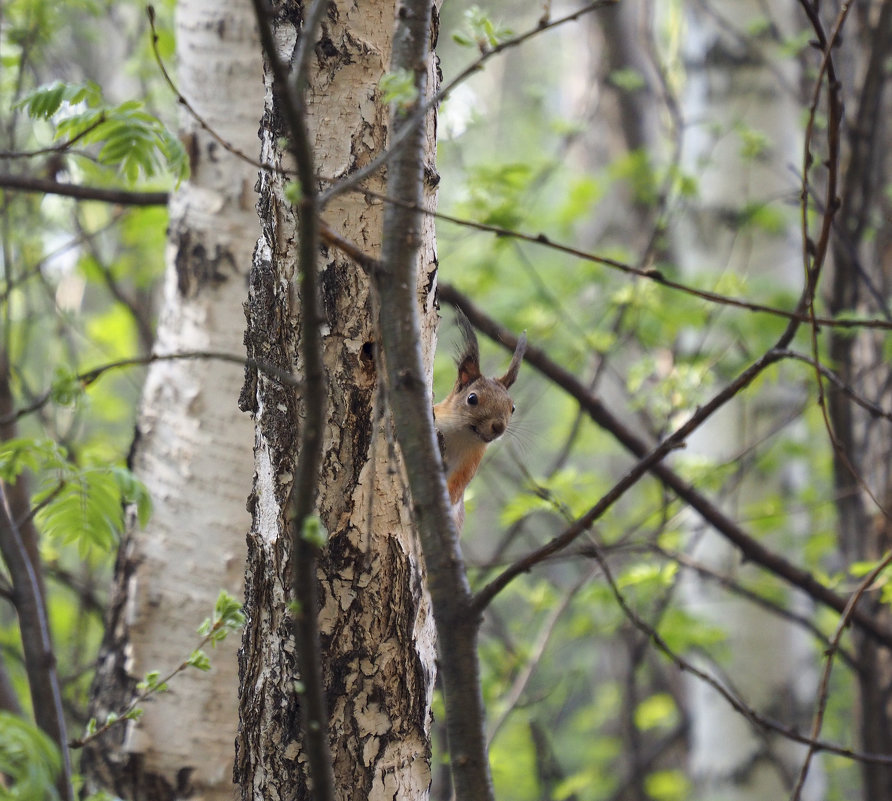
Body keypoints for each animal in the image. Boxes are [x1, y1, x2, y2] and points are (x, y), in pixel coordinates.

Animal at [430, 310, 524, 528]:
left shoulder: (470, 461)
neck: (459, 434)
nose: (499, 426)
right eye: (472, 398)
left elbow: (456, 486)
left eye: (513, 407)